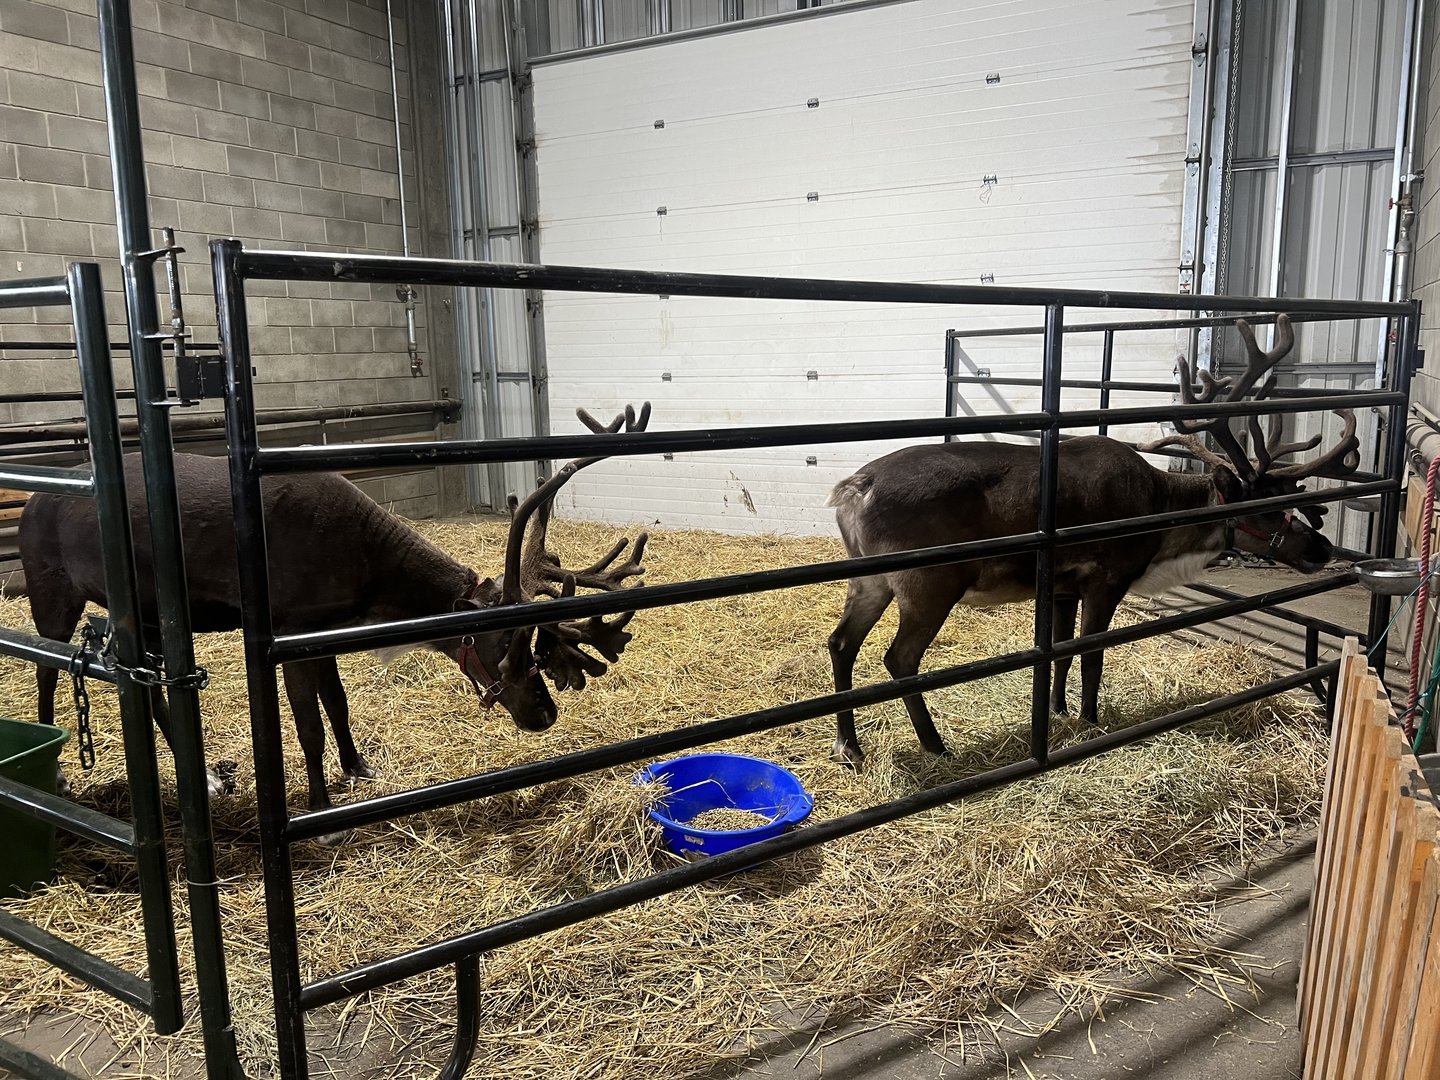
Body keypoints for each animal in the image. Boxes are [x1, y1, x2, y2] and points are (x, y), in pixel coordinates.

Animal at [18, 403, 651, 828]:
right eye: (505, 645)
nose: (545, 713)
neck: (367, 572)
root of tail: (33, 495)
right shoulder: (291, 629)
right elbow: (308, 723)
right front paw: (320, 801)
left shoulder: (322, 630)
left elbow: (338, 702)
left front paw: (359, 766)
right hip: (51, 587)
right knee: (46, 667)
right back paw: (54, 769)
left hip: (147, 615)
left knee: (149, 689)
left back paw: (206, 778)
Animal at [825, 315, 1359, 766]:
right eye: (1266, 508)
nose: (1322, 548)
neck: (1161, 522)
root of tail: (853, 488)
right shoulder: (1107, 578)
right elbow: (1091, 655)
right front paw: (1090, 720)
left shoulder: (1063, 588)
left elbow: (1059, 652)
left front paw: (1058, 712)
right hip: (930, 582)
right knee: (899, 658)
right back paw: (935, 746)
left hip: (870, 581)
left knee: (840, 643)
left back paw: (849, 746)